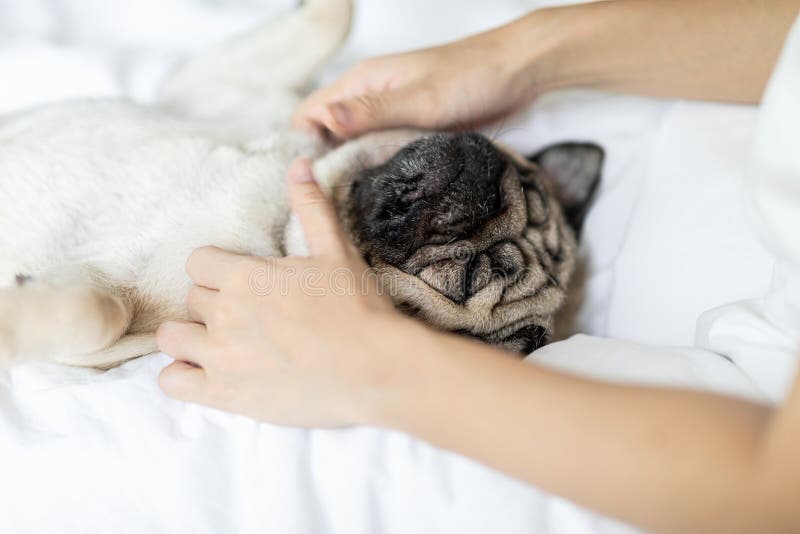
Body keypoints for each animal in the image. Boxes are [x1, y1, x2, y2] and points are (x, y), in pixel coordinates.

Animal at [0, 0, 600, 368]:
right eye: (516, 174)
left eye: (470, 276)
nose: (487, 180)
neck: (280, 218)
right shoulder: (216, 84)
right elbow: (333, 20)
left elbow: (96, 312)